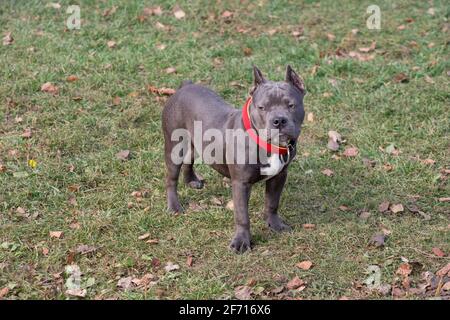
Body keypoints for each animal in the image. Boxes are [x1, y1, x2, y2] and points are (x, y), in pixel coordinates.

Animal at [162, 65, 306, 252]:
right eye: (262, 107)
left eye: (291, 105)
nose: (279, 120)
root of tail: (184, 87)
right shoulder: (240, 183)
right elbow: (242, 215)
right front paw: (241, 242)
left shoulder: (279, 176)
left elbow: (272, 203)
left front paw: (275, 225)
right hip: (174, 147)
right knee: (171, 178)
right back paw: (174, 206)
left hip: (195, 142)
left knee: (190, 159)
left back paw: (191, 180)